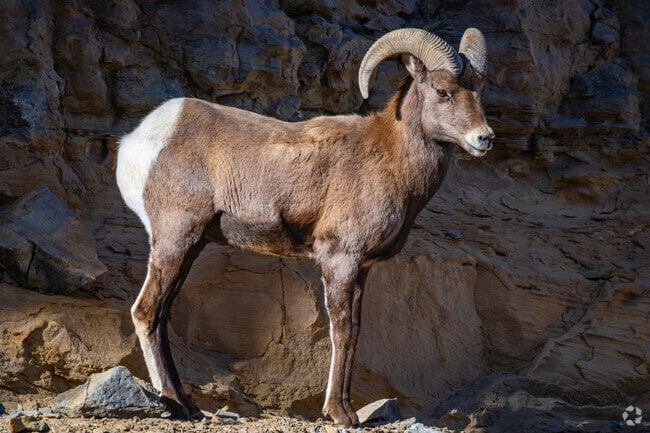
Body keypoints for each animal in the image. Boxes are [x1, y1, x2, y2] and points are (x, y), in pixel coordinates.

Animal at [115, 27, 494, 426]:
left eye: (478, 90)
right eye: (443, 92)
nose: (484, 138)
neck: (391, 160)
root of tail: (136, 141)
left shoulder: (362, 269)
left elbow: (356, 331)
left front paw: (348, 411)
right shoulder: (340, 259)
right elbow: (342, 330)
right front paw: (339, 414)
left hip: (191, 246)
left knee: (161, 314)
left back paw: (188, 405)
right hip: (175, 239)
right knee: (146, 311)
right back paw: (175, 403)